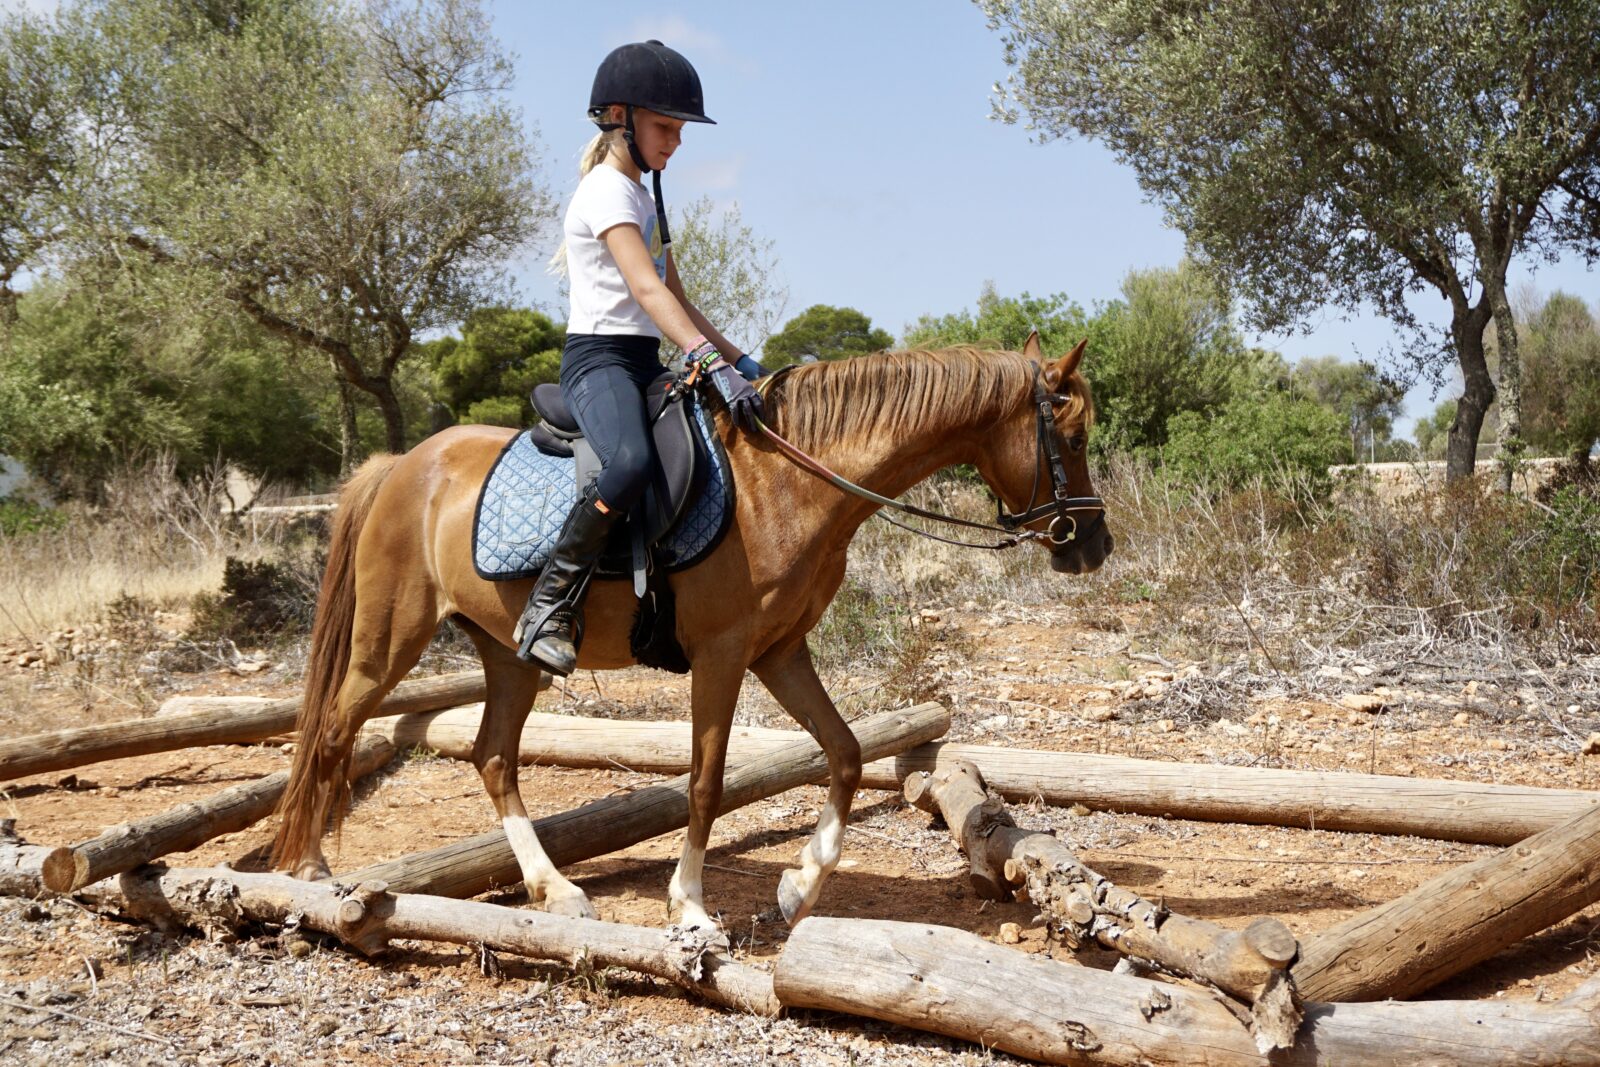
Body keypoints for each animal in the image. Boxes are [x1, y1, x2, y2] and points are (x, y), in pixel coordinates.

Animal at [268, 334, 1107, 934]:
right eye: (1070, 437)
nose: (1092, 546)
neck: (790, 480)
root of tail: (401, 465)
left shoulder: (779, 650)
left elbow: (844, 752)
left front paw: (797, 889)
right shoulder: (724, 654)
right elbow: (706, 780)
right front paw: (693, 906)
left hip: (508, 654)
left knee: (493, 756)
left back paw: (556, 889)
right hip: (392, 638)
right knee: (335, 729)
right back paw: (310, 871)